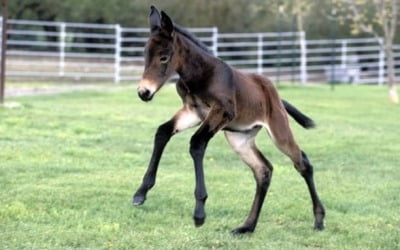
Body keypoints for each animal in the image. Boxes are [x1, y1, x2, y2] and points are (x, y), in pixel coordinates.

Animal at [132, 6, 324, 234]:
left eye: (164, 57)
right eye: (145, 54)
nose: (144, 92)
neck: (199, 75)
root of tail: (272, 92)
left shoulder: (222, 112)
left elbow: (196, 144)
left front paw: (199, 213)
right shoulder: (193, 112)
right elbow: (163, 132)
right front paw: (140, 193)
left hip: (279, 132)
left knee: (302, 163)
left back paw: (319, 220)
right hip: (239, 139)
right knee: (263, 170)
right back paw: (247, 227)